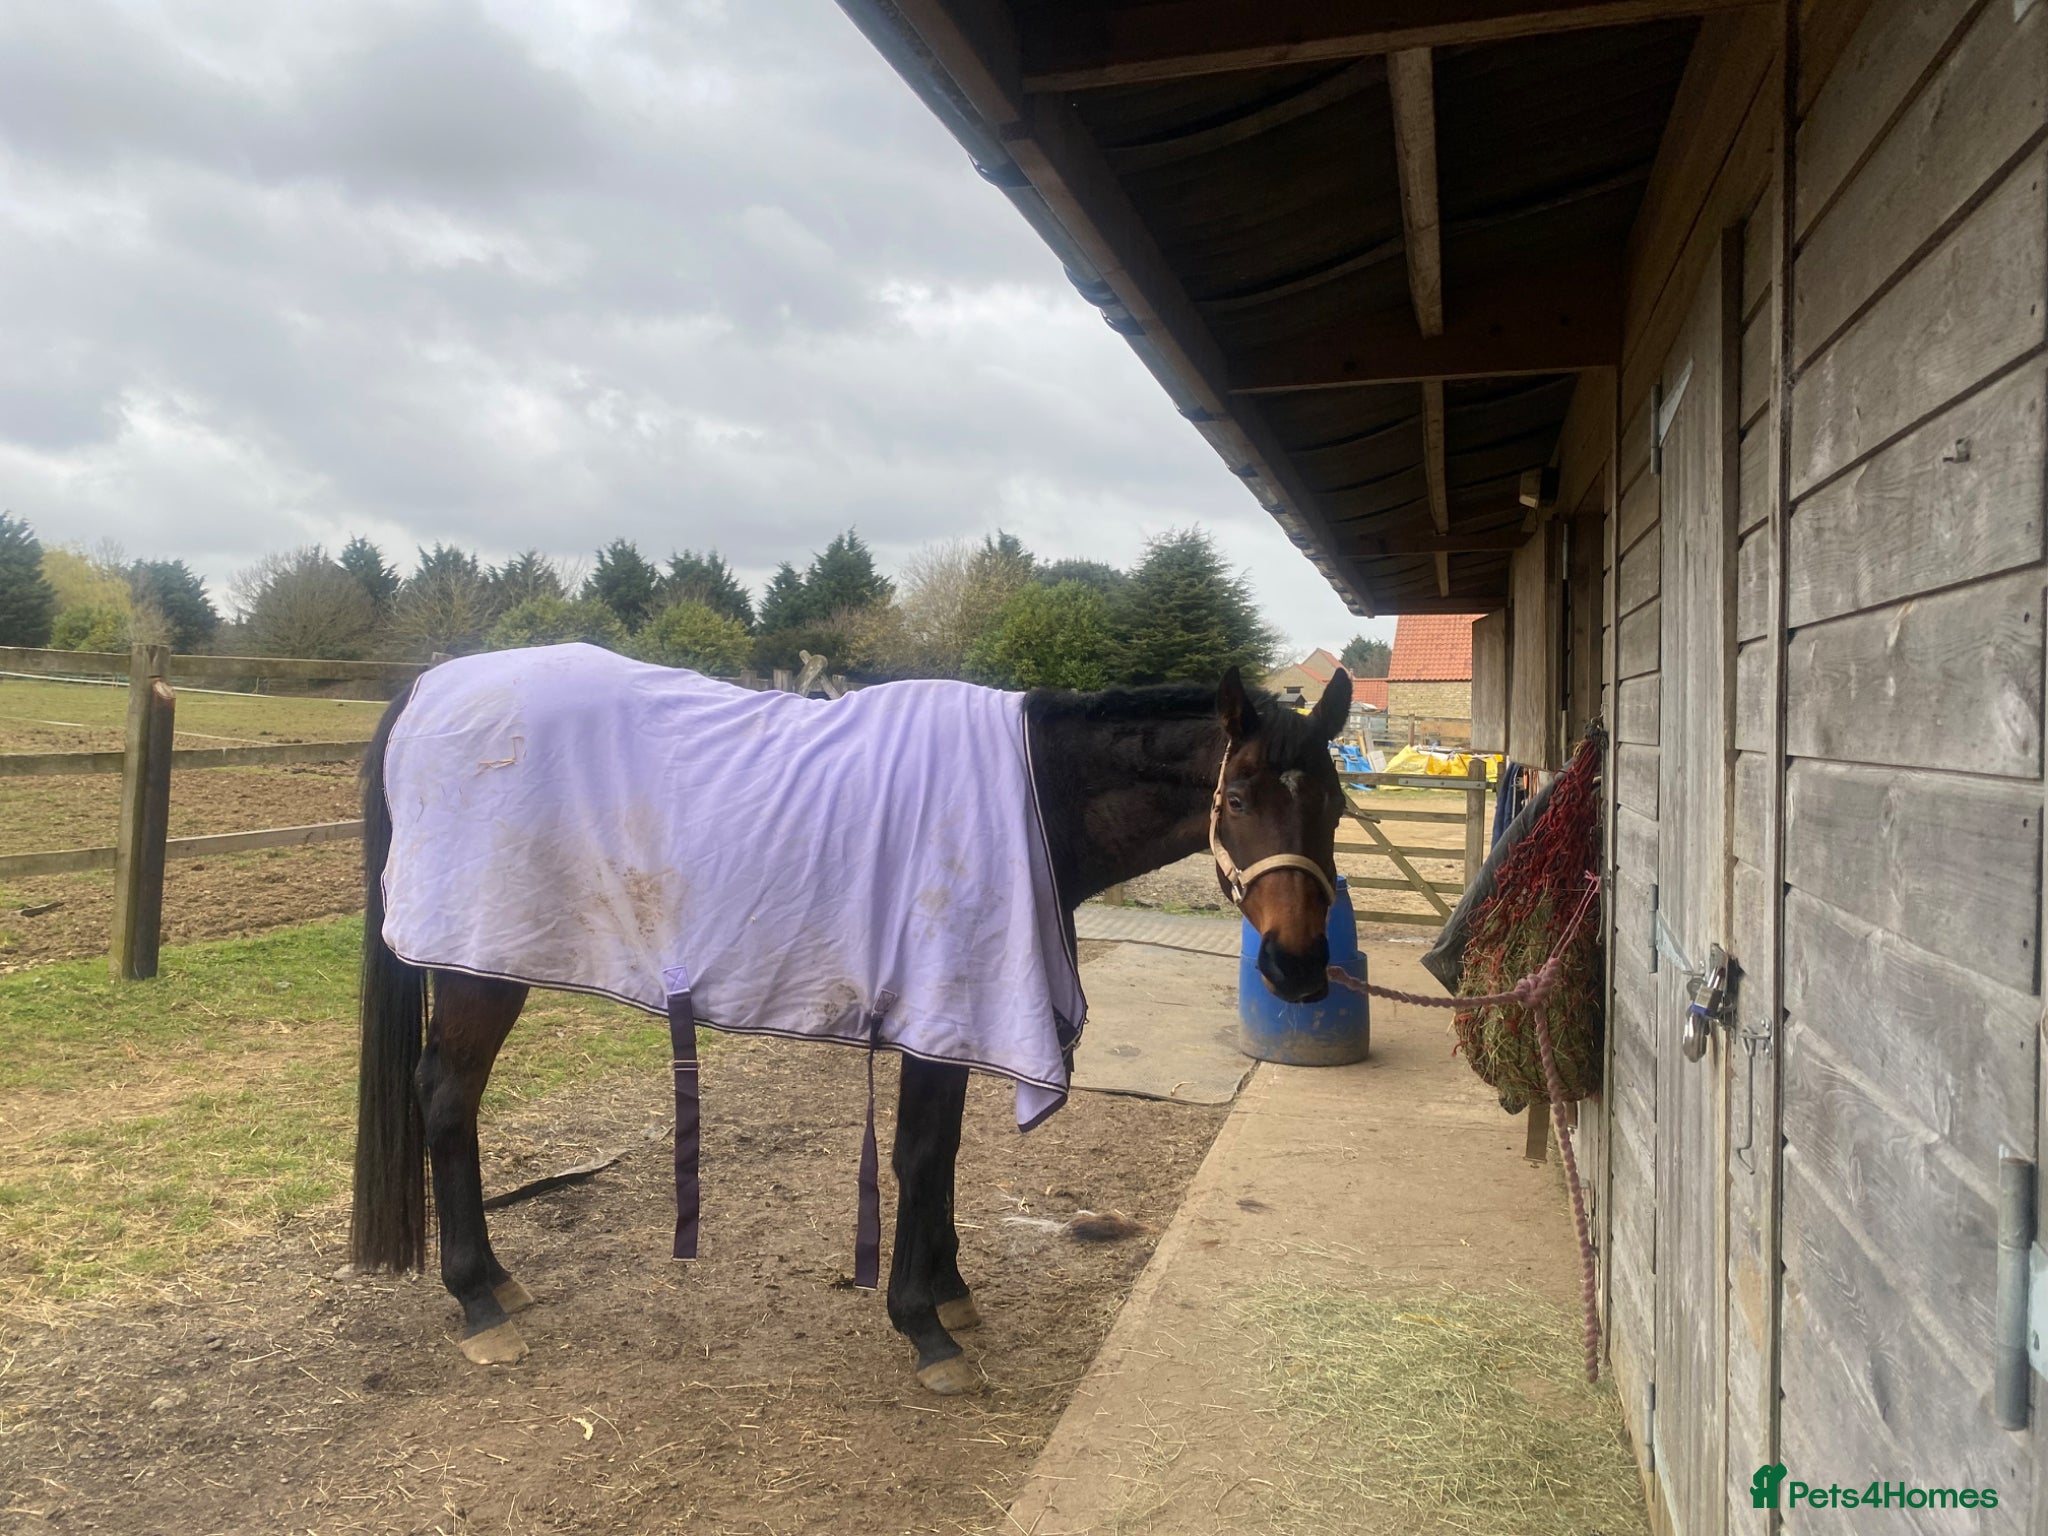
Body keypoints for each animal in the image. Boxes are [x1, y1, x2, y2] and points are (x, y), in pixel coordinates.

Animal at [348, 656, 1353, 1393]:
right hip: (477, 970)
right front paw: (923, 1327)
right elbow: (919, 1154)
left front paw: (950, 1293)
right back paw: (478, 1301)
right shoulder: (939, 1005)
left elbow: (943, 1153)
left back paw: (494, 1286)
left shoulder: (961, 1018)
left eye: (1336, 805)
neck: (1032, 796)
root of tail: (433, 686)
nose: (1300, 970)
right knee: (448, 1097)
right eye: (1236, 800)